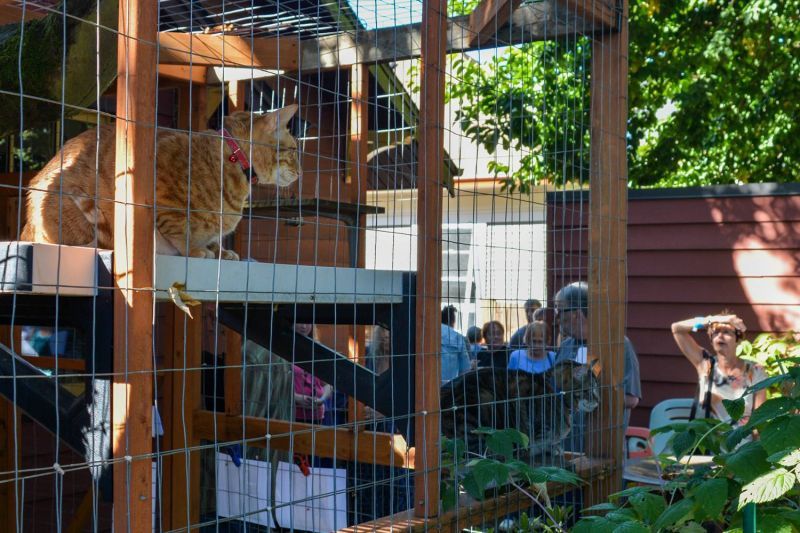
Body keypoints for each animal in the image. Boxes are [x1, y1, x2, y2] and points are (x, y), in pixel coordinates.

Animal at [23, 104, 304, 260]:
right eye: (293, 150)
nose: (301, 173)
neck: (232, 159)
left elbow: (213, 239)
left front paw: (221, 252)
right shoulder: (157, 194)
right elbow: (180, 229)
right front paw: (195, 250)